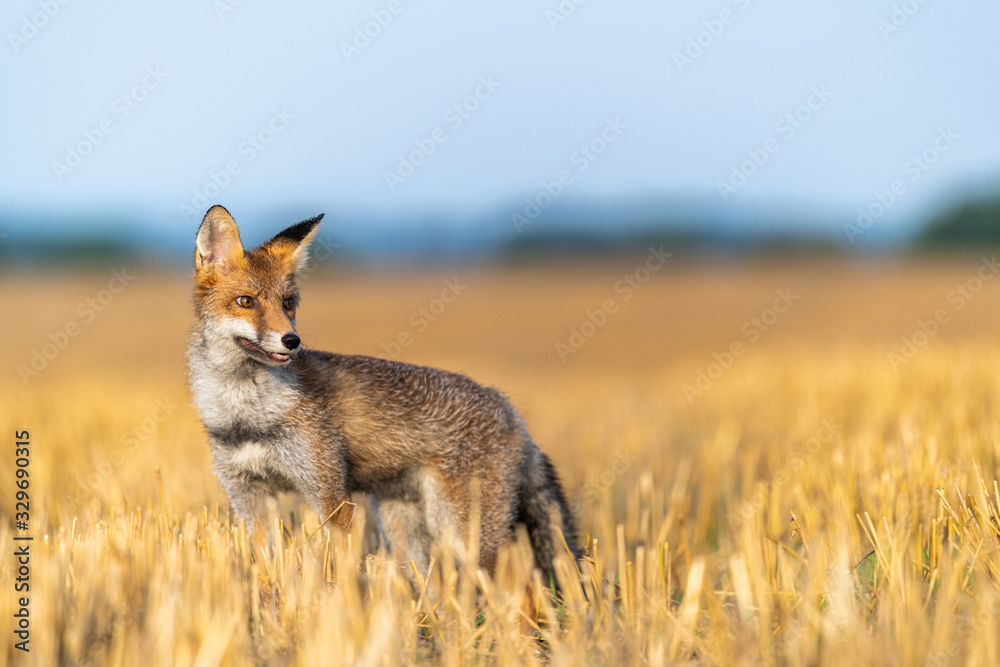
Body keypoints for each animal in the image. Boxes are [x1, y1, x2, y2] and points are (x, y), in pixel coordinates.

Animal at [187, 205, 579, 579]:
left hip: (462, 532)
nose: (292, 340)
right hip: (402, 527)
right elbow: (263, 562)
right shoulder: (248, 496)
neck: (247, 413)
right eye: (246, 302)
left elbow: (337, 564)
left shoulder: (330, 494)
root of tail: (509, 408)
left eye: (288, 303)